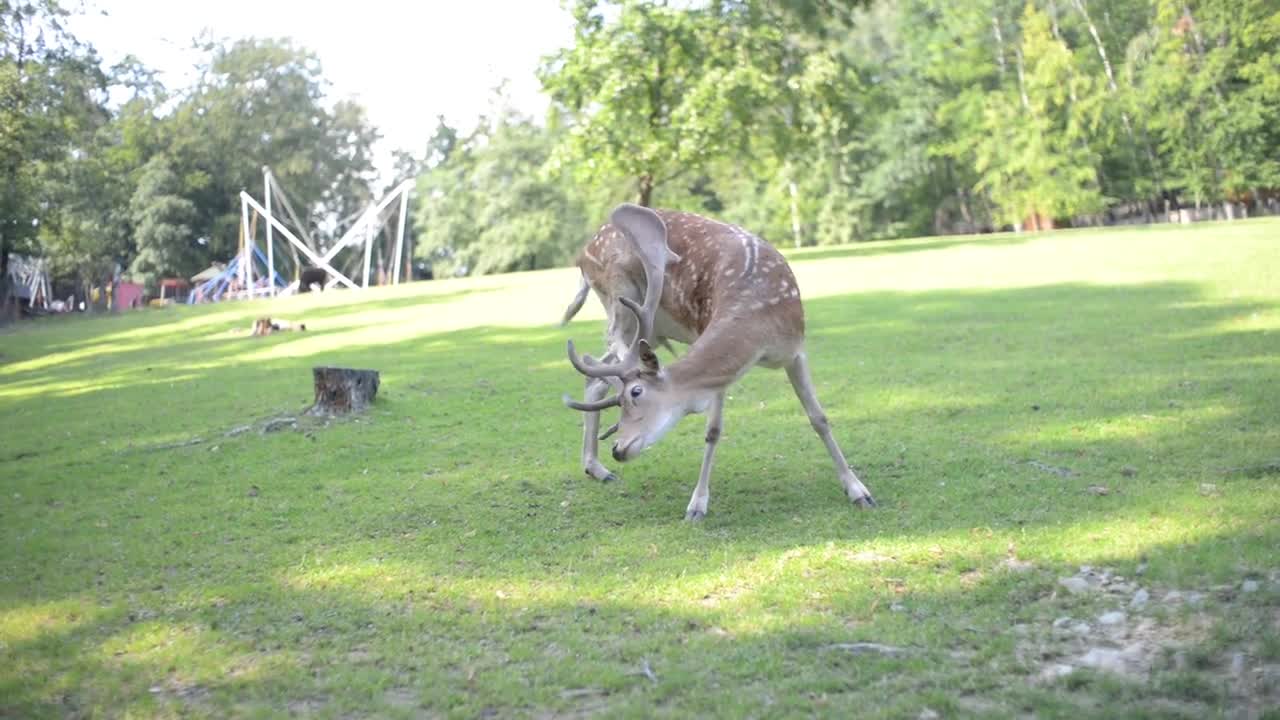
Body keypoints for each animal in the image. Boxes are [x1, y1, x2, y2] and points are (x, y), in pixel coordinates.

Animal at [563, 202, 880, 515]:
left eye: (636, 393)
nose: (618, 449)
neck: (762, 328)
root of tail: (582, 253)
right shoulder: (706, 332)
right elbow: (713, 430)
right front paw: (697, 505)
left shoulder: (795, 350)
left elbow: (819, 418)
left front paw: (859, 492)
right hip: (621, 299)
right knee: (606, 349)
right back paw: (597, 465)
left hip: (648, 327)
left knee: (595, 374)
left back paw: (596, 468)